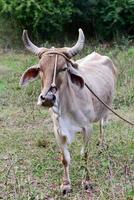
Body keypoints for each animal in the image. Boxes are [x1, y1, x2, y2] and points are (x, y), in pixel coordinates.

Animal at [19, 28, 116, 195]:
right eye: (40, 68)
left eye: (64, 68)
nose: (47, 98)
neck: (66, 109)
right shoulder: (58, 131)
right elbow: (65, 158)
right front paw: (66, 185)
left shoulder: (87, 128)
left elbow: (84, 154)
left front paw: (87, 182)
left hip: (107, 108)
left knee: (103, 126)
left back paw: (102, 145)